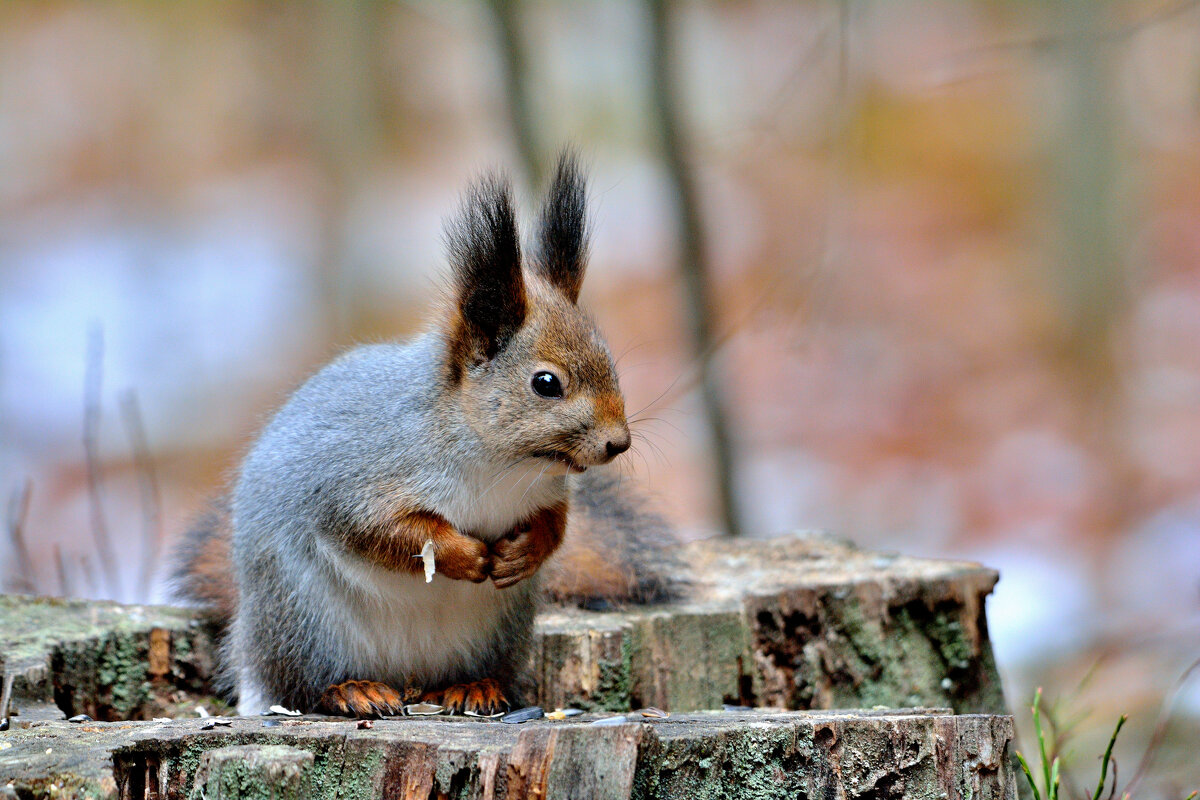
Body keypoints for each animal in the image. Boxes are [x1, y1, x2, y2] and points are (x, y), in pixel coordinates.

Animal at [170, 151, 681, 719]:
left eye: (608, 358)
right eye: (546, 383)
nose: (619, 443)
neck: (500, 464)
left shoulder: (546, 493)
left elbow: (556, 525)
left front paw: (524, 552)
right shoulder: (356, 482)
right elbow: (386, 533)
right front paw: (464, 555)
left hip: (495, 633)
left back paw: (472, 687)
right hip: (302, 622)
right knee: (300, 687)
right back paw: (353, 690)